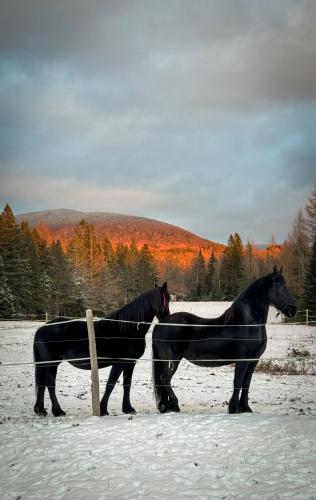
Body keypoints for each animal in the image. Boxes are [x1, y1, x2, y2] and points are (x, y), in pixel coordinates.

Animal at [33, 284, 170, 416]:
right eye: (167, 299)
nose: (167, 319)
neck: (127, 329)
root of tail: (41, 329)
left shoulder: (130, 363)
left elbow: (127, 384)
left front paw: (128, 408)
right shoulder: (119, 363)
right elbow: (111, 384)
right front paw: (103, 409)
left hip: (45, 364)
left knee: (42, 384)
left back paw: (41, 410)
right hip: (51, 364)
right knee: (50, 384)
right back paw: (58, 411)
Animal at [153, 268, 296, 416]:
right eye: (281, 287)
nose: (293, 310)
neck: (246, 323)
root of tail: (161, 323)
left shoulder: (253, 360)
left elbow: (246, 384)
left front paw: (246, 408)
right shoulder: (242, 359)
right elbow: (238, 382)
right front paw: (233, 408)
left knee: (164, 381)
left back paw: (166, 407)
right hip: (171, 360)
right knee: (165, 379)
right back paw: (174, 405)